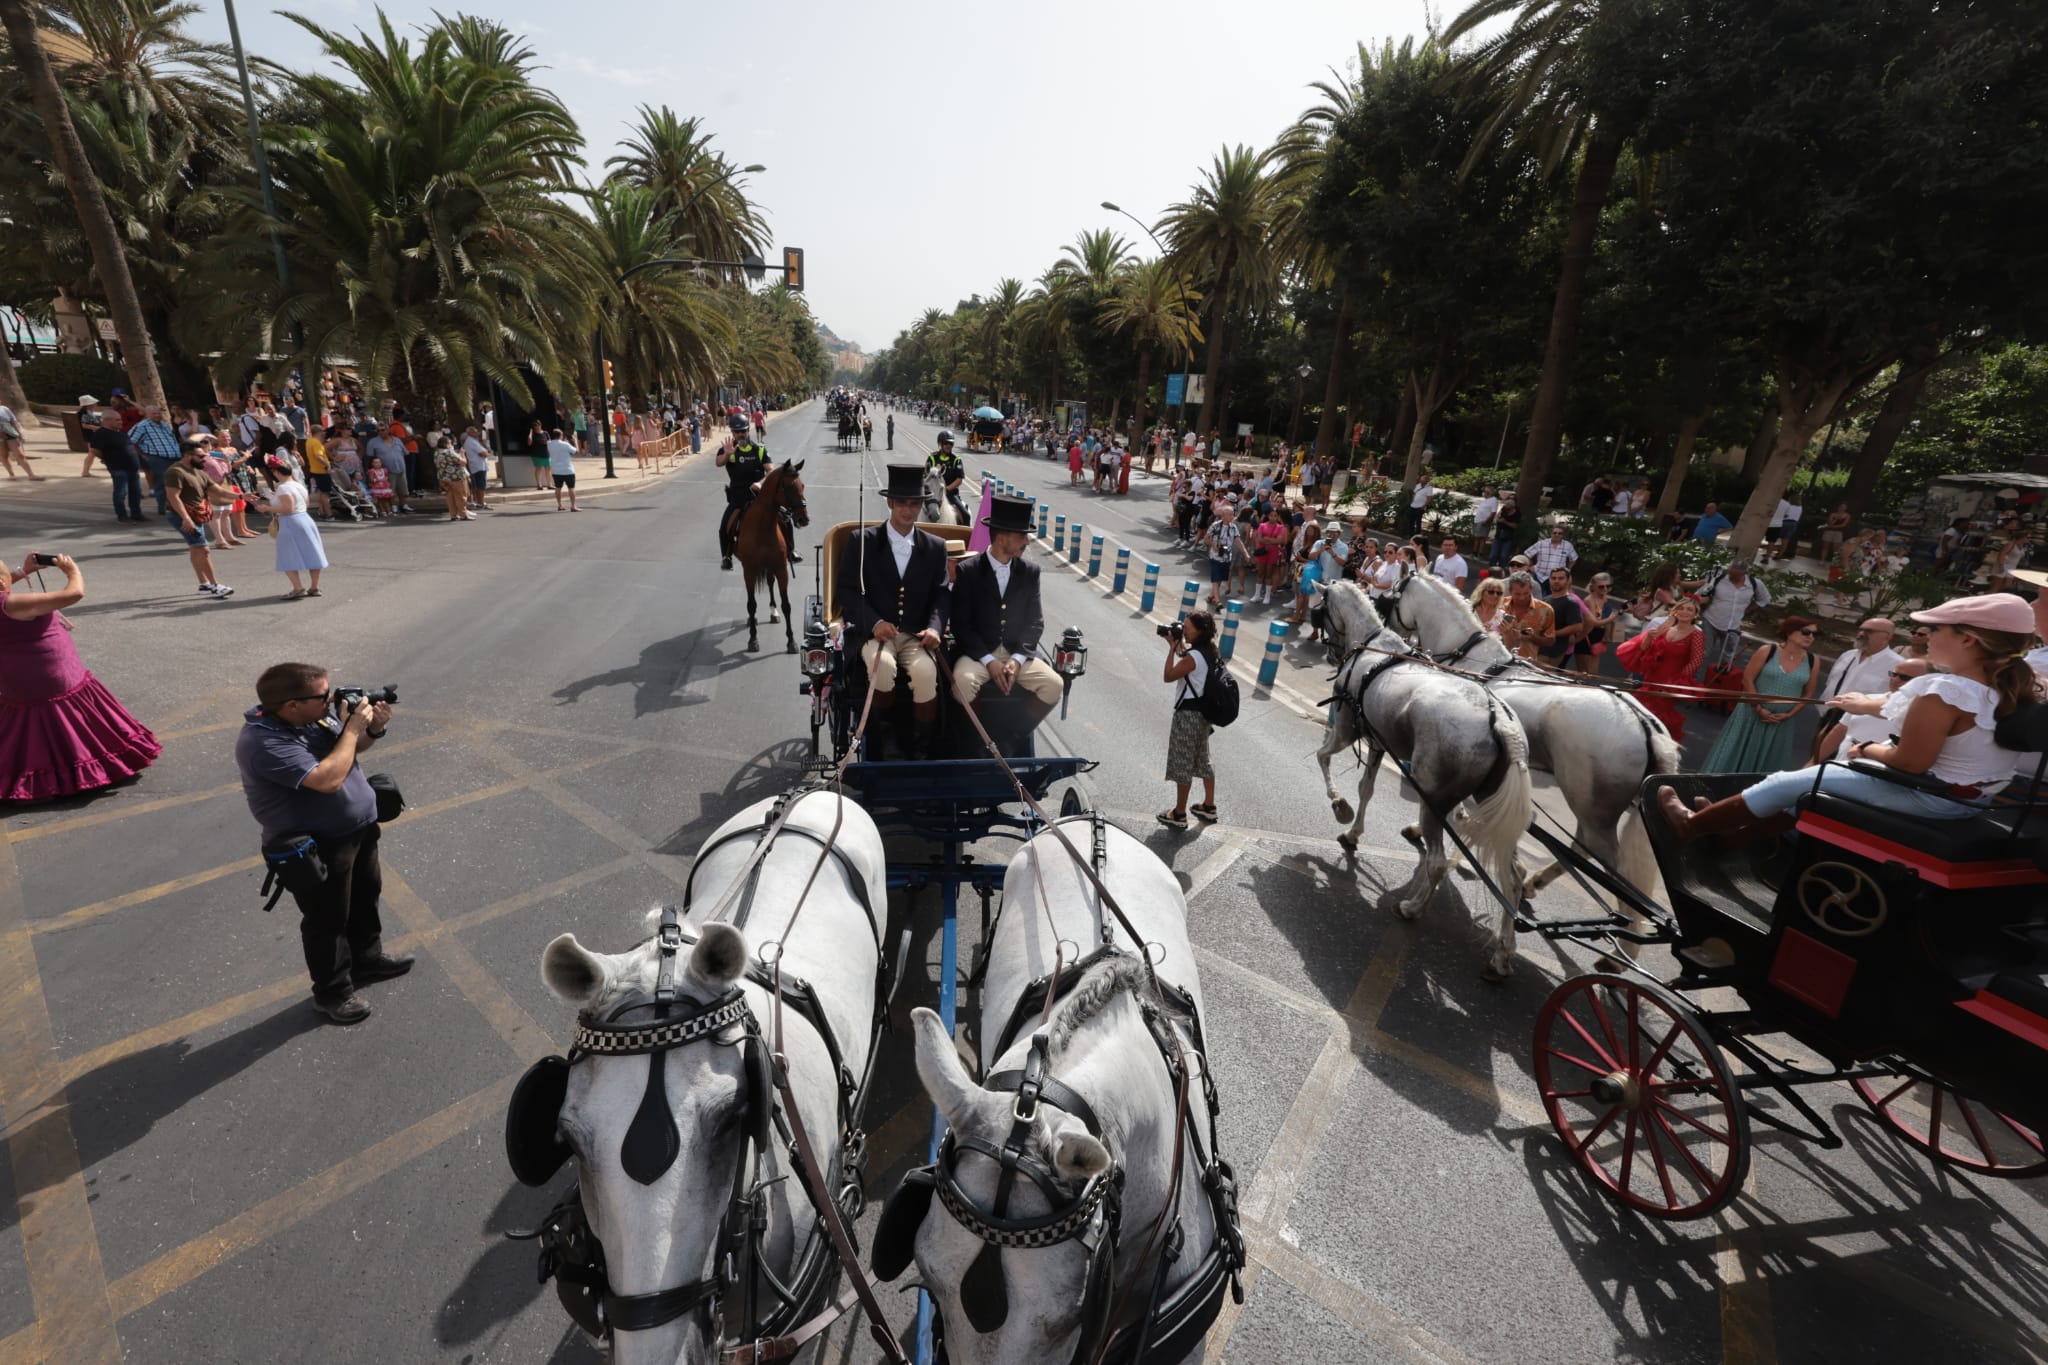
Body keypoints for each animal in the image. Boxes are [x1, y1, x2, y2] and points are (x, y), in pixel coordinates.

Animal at [733, 462, 802, 654]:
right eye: (789, 487)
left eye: (802, 486)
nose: (804, 518)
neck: (763, 526)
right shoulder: (749, 569)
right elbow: (751, 604)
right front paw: (753, 639)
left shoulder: (781, 568)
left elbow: (786, 605)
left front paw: (791, 641)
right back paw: (753, 619)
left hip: (770, 566)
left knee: (770, 583)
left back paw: (773, 612)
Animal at [1318, 581, 1531, 978]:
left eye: (1320, 610)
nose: (1330, 652)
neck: (1373, 645)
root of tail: (1498, 720)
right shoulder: (1377, 742)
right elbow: (1366, 788)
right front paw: (1353, 832)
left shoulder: (1345, 729)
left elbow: (1323, 758)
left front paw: (1339, 806)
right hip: (1489, 807)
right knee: (1513, 878)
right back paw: (1502, 954)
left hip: (1433, 803)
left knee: (1436, 863)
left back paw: (1412, 908)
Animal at [1376, 573, 1679, 900]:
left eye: (1389, 598)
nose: (1386, 628)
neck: (1470, 655)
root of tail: (1646, 724)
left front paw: (1427, 826)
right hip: (1595, 809)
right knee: (1584, 845)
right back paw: (1534, 881)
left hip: (1590, 803)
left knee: (1607, 859)